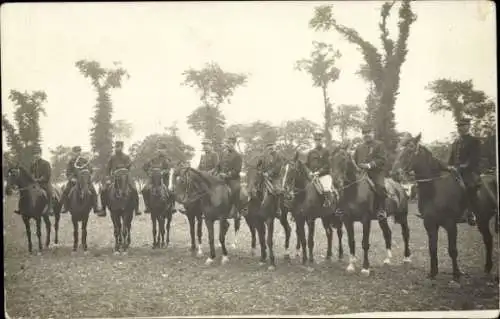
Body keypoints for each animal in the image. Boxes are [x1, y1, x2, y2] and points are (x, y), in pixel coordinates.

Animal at [330, 147, 408, 276]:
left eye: (343, 160)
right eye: (331, 160)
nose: (336, 183)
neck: (354, 191)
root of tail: (400, 187)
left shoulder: (365, 220)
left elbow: (365, 243)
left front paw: (365, 268)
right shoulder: (347, 220)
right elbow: (351, 241)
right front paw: (351, 266)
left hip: (402, 216)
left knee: (405, 233)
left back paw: (407, 257)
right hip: (382, 219)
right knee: (387, 233)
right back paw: (387, 259)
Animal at [392, 134, 498, 284]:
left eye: (410, 150)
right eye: (397, 150)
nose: (394, 173)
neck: (434, 190)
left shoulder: (450, 225)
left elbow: (452, 250)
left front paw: (456, 274)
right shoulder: (430, 224)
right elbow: (432, 248)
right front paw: (433, 273)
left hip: (482, 220)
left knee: (488, 240)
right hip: (482, 221)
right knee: (488, 239)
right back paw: (488, 267)